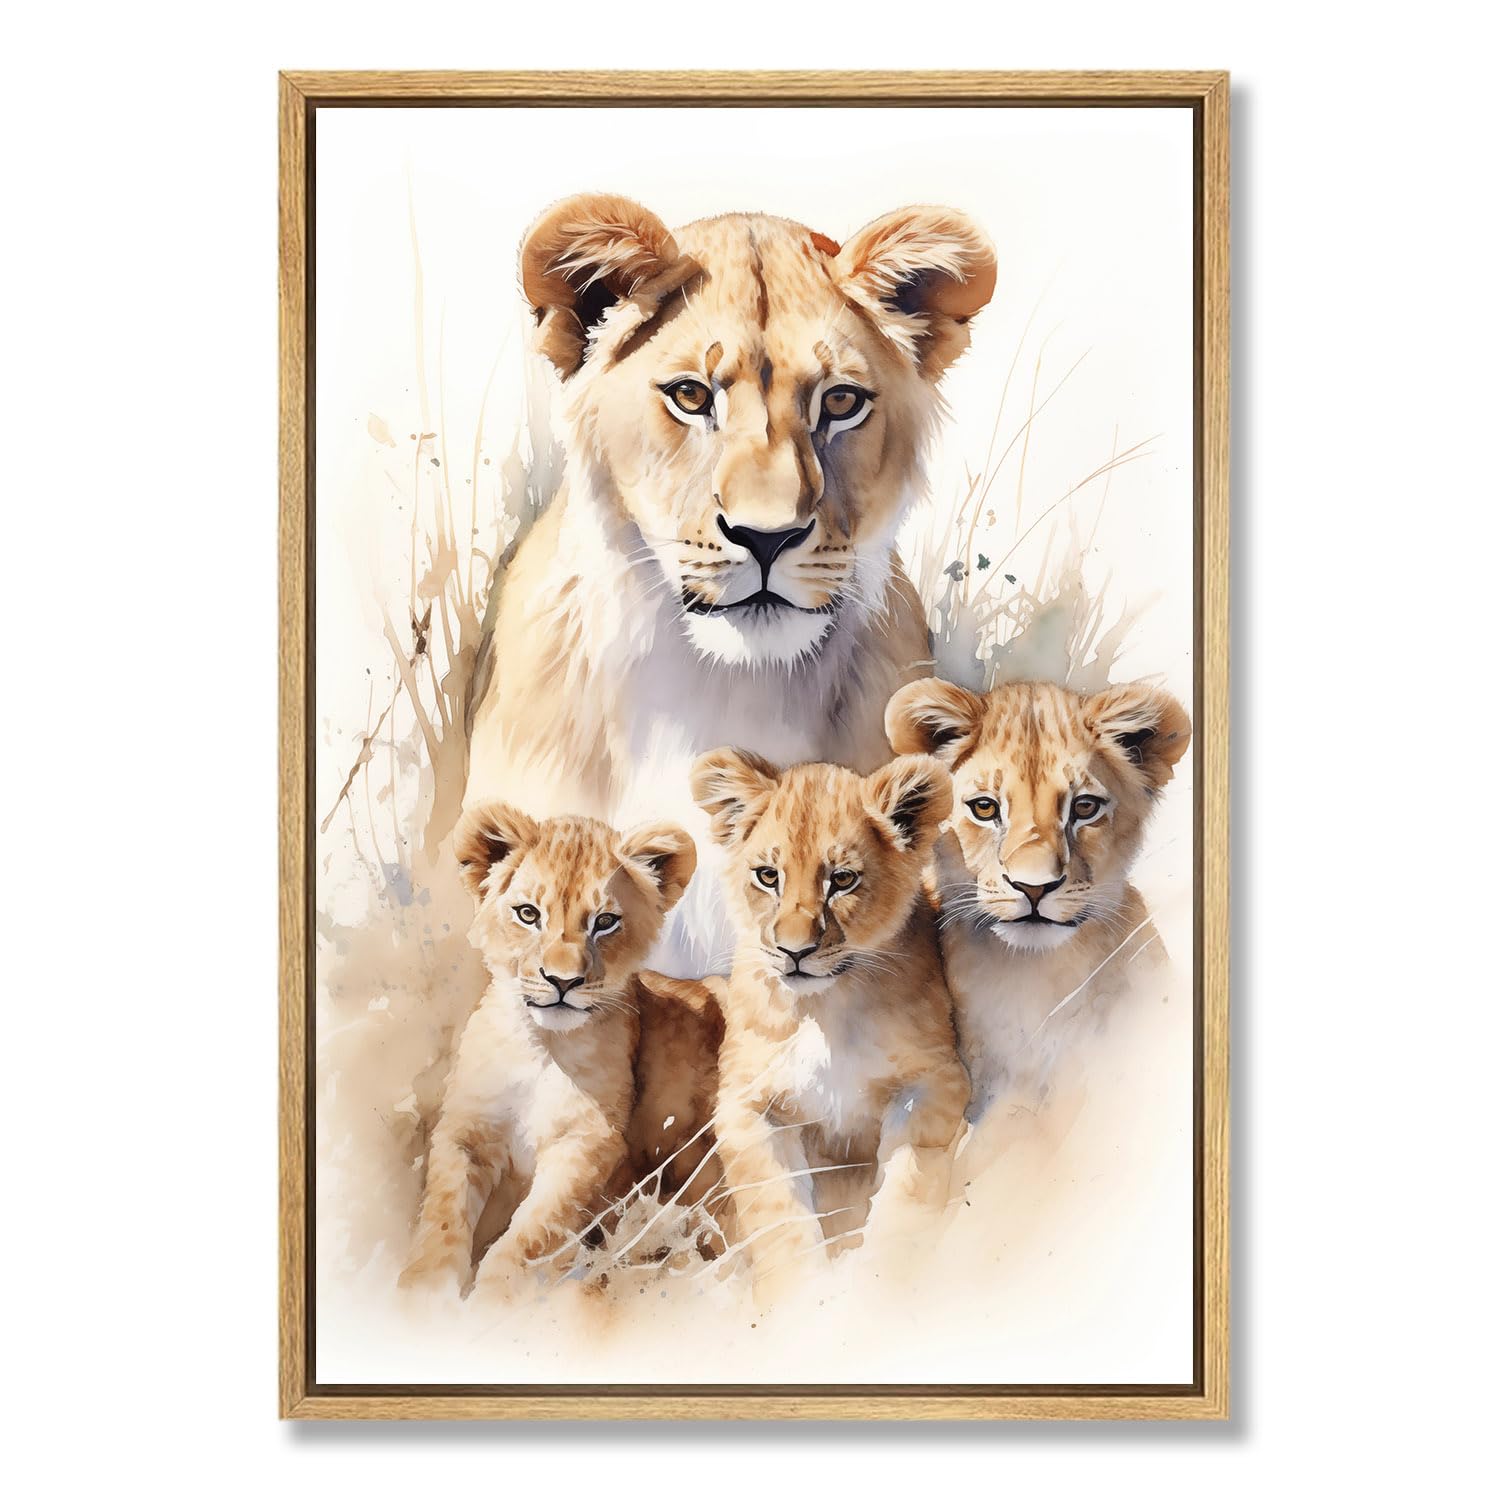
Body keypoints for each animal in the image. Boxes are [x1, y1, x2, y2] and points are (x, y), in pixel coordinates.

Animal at [399, 801, 720, 1298]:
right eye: (528, 914)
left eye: (605, 922)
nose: (562, 981)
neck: (543, 1047)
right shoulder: (466, 1129)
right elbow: (443, 1214)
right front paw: (423, 1294)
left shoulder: (590, 1142)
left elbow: (532, 1232)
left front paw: (494, 1297)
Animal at [689, 748, 969, 1300]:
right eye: (767, 876)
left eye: (842, 880)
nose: (793, 952)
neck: (824, 1010)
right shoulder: (745, 1104)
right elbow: (777, 1212)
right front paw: (800, 1302)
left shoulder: (938, 1079)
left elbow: (907, 1184)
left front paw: (880, 1283)